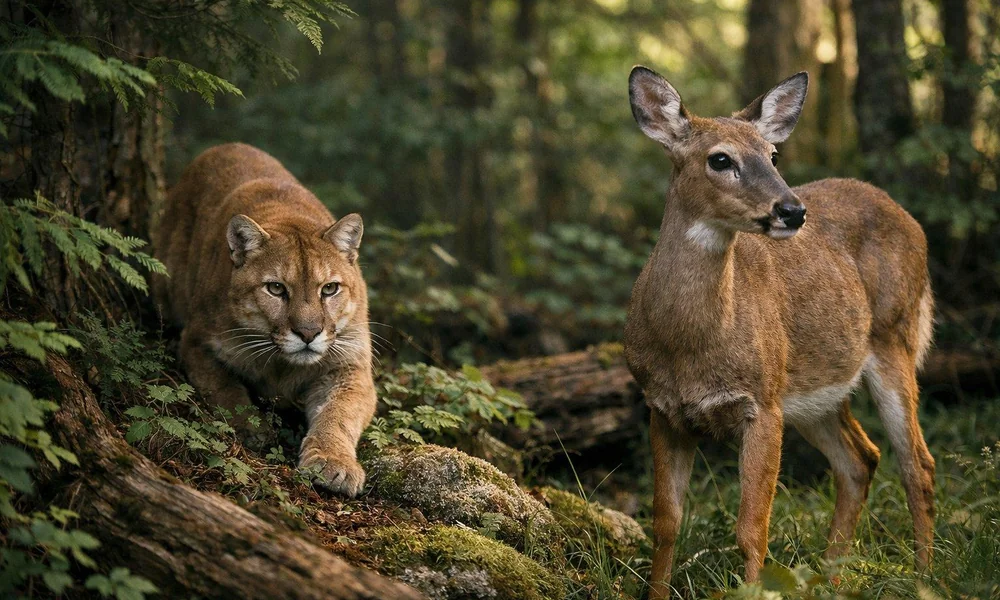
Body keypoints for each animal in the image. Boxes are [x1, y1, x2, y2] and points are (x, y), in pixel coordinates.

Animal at [154, 142, 375, 496]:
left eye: (329, 288)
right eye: (276, 288)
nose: (308, 333)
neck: (282, 365)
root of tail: (225, 145)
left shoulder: (349, 365)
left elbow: (338, 414)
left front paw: (333, 462)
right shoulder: (197, 343)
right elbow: (225, 390)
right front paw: (252, 429)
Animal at [622, 66, 936, 597]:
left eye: (772, 155)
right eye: (720, 158)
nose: (792, 210)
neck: (688, 347)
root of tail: (910, 218)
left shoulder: (762, 403)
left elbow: (752, 528)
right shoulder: (662, 409)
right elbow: (665, 524)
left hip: (896, 335)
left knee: (917, 464)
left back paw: (924, 579)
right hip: (814, 388)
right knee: (861, 459)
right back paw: (831, 579)